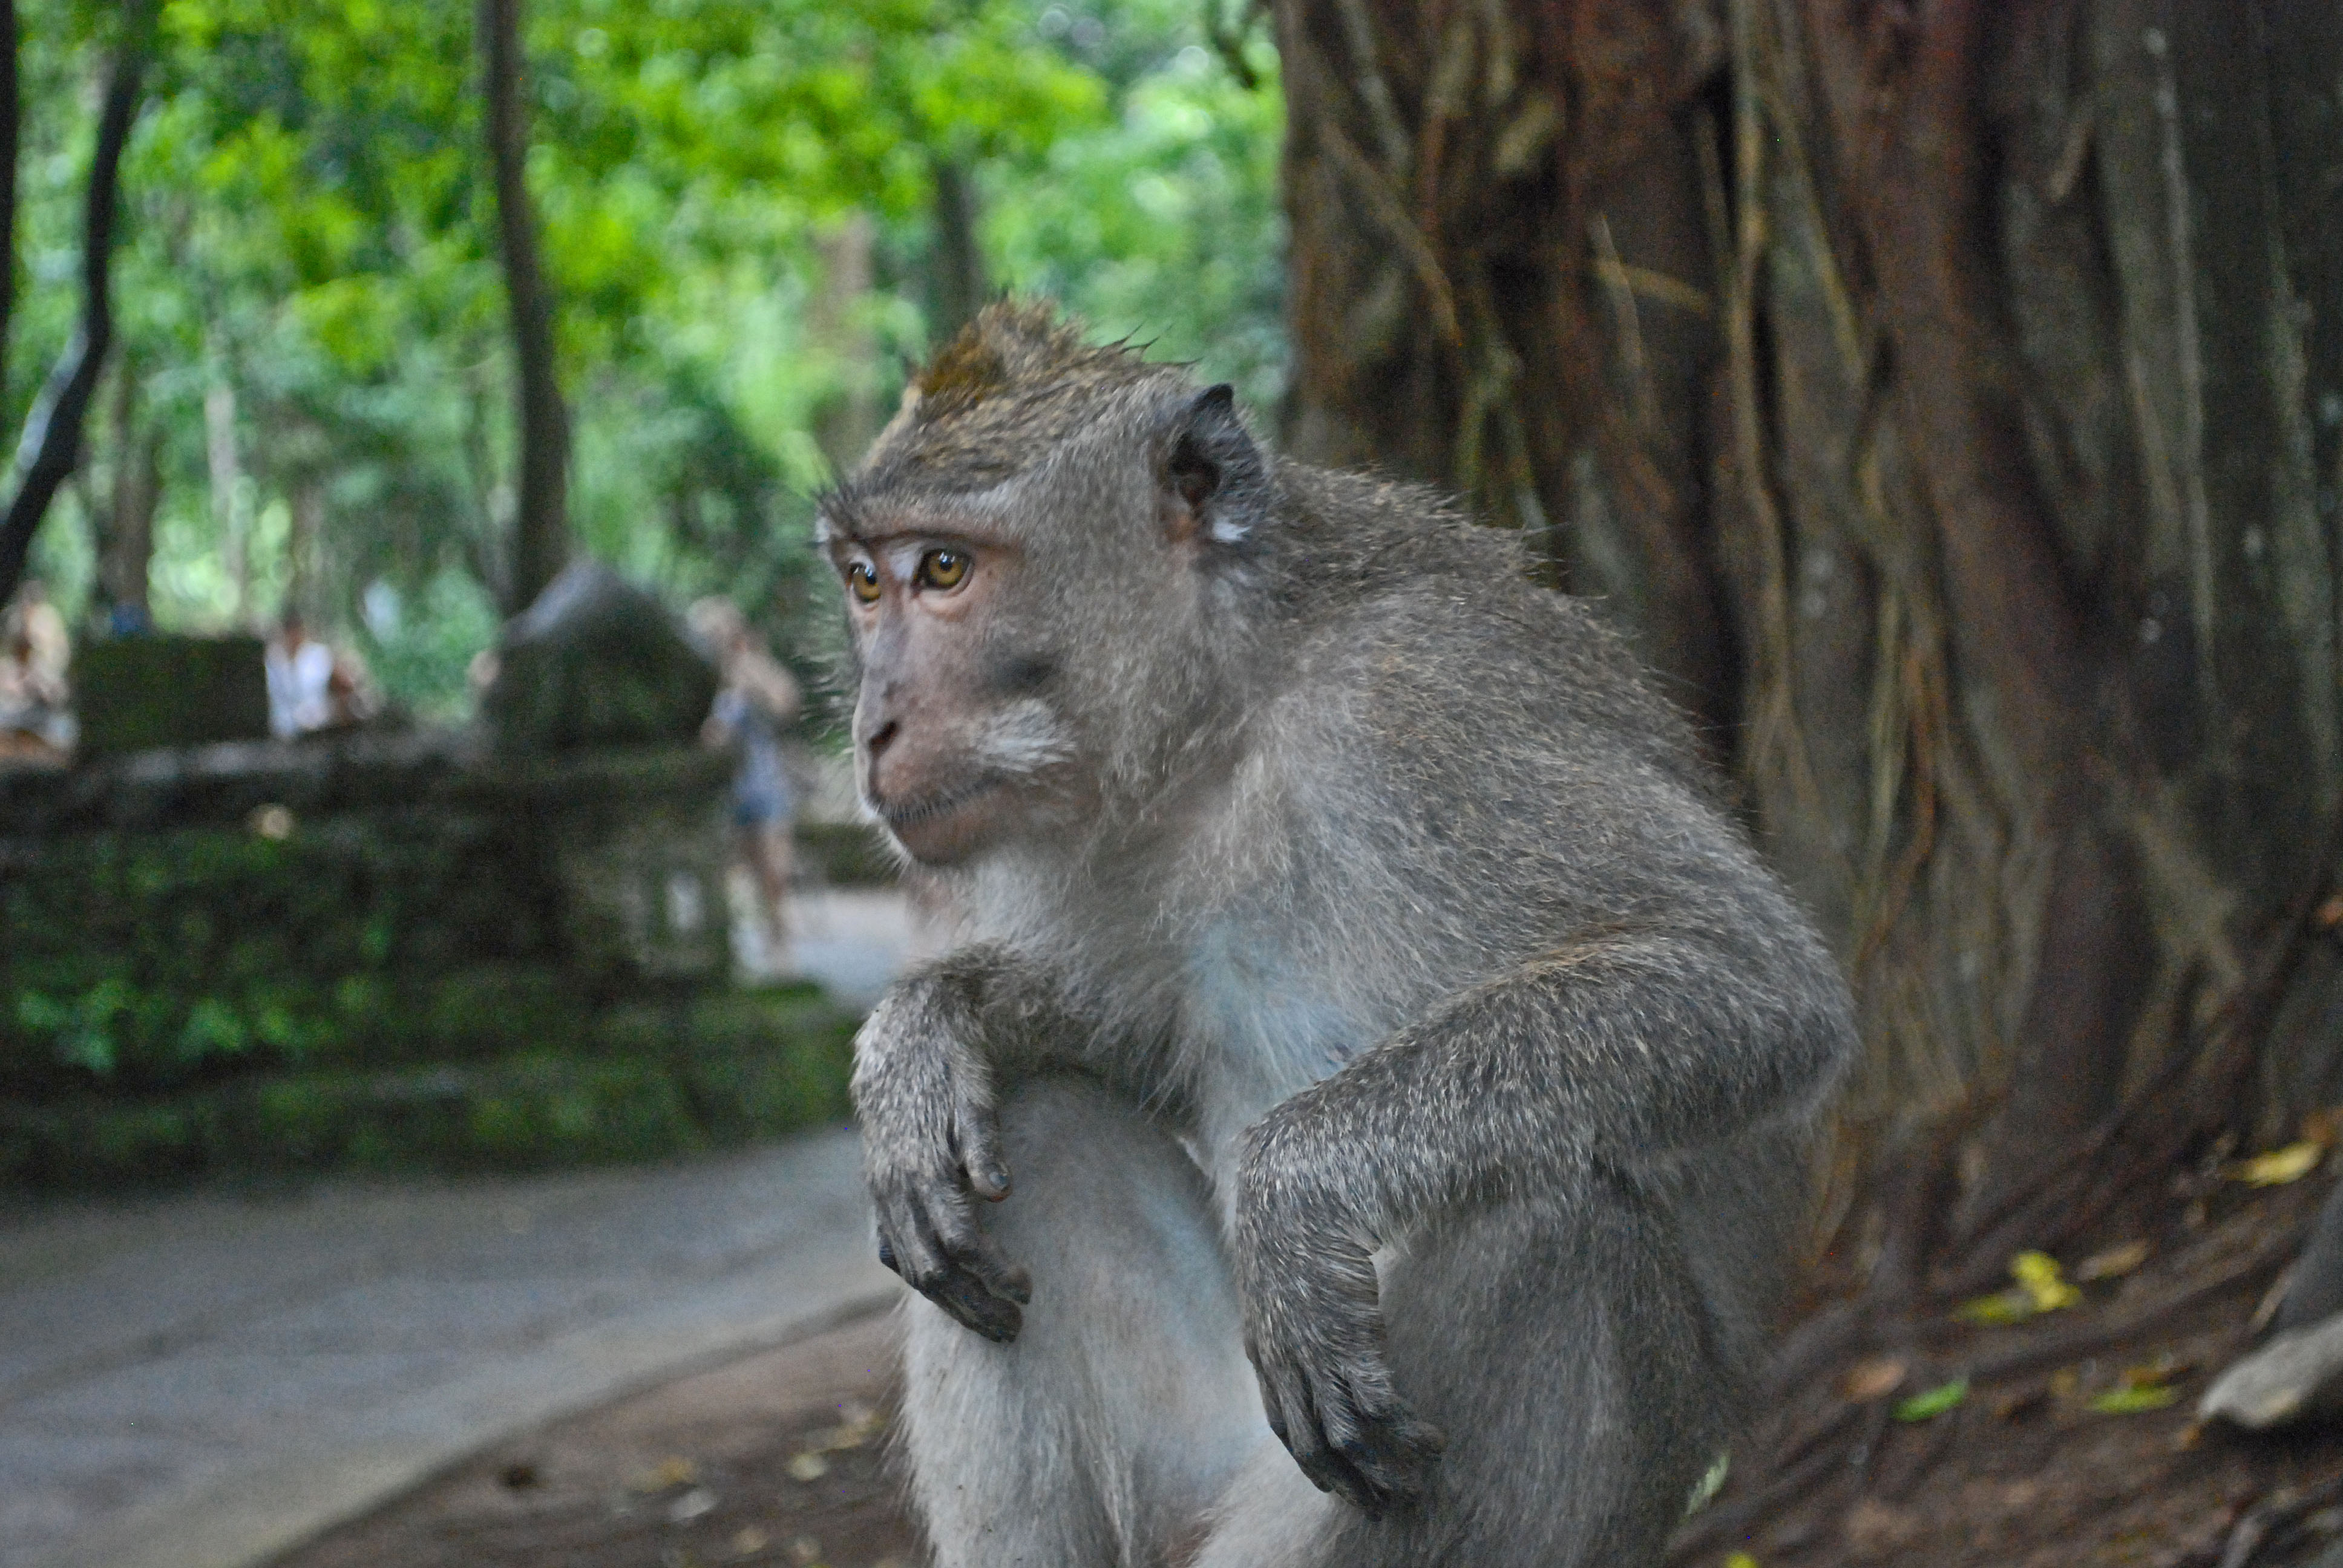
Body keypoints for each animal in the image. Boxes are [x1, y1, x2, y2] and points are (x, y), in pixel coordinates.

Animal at [824, 304, 1846, 1566]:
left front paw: (1294, 1194)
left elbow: (1745, 976)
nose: (873, 725)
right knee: (1041, 1121)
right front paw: (920, 1039)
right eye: (863, 582)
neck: (1231, 716)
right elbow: (1126, 1041)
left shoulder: (1423, 714)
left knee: (1548, 1213)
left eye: (945, 570)